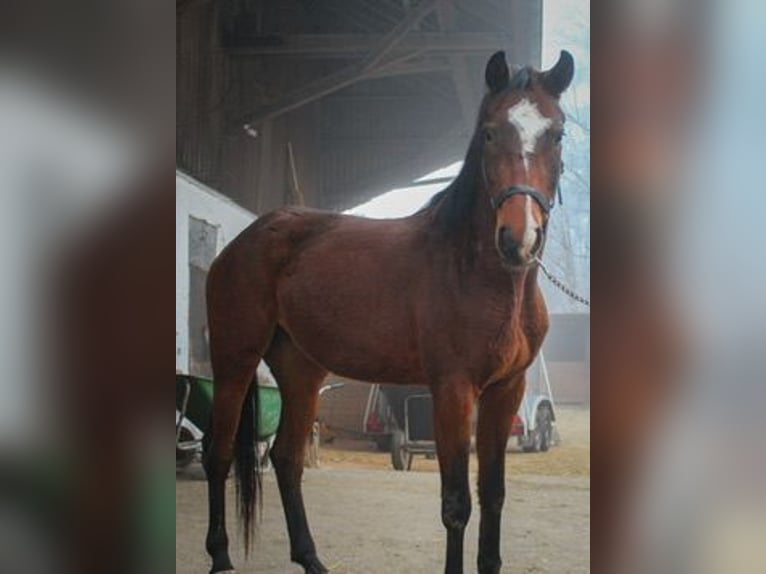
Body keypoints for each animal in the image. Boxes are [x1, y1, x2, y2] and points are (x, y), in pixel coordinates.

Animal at [204, 50, 576, 574]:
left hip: (301, 370)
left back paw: (312, 559)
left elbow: (494, 495)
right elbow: (457, 503)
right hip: (235, 359)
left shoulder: (507, 390)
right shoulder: (453, 389)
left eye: (556, 133)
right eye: (488, 132)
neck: (478, 272)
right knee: (217, 453)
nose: (517, 238)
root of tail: (246, 240)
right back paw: (220, 557)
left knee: (286, 458)